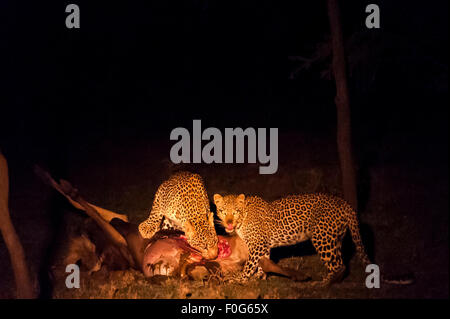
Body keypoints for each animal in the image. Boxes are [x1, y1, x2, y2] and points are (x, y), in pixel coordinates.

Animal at [214, 192, 370, 284]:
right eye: (222, 211)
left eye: (235, 212)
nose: (229, 223)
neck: (243, 219)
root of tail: (343, 202)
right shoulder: (264, 245)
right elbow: (263, 262)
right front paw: (261, 277)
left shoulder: (257, 245)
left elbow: (250, 264)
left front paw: (241, 279)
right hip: (335, 238)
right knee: (340, 262)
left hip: (322, 238)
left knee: (338, 265)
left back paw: (323, 284)